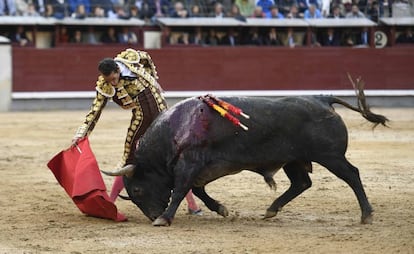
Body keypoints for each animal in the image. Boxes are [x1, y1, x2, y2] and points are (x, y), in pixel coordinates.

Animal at [103, 77, 388, 226]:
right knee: (301, 183)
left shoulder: (189, 165)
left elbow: (181, 190)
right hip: (293, 160)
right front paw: (221, 209)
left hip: (331, 156)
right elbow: (197, 190)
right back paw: (271, 209)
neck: (176, 128)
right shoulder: (199, 169)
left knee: (351, 174)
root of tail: (322, 99)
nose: (152, 216)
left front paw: (164, 218)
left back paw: (367, 214)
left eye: (138, 190)